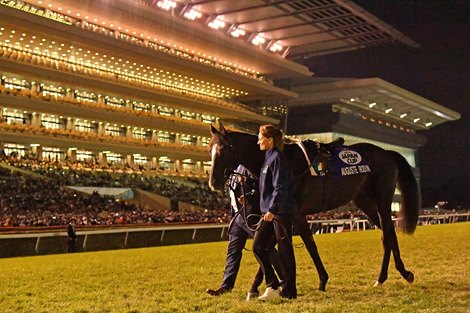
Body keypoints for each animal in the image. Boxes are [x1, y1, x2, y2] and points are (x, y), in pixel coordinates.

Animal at [207, 122, 420, 290]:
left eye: (225, 148)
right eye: (210, 148)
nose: (213, 182)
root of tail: (387, 153)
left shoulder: (294, 214)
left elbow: (308, 244)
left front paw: (321, 280)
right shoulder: (283, 216)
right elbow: (271, 246)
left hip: (383, 199)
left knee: (389, 234)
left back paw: (393, 275)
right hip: (364, 201)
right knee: (387, 234)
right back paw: (392, 276)